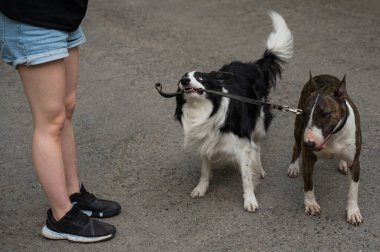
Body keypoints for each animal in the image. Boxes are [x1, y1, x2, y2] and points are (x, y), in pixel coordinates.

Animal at [175, 12, 294, 213]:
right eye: (182, 78)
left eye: (200, 78)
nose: (185, 81)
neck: (205, 109)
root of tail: (254, 65)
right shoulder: (205, 141)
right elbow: (204, 170)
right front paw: (201, 188)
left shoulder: (242, 145)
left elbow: (246, 177)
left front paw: (250, 200)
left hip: (259, 120)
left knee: (258, 145)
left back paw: (259, 168)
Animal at [288, 73, 362, 224]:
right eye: (305, 114)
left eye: (325, 114)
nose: (308, 143)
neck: (334, 137)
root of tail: (323, 75)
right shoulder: (308, 158)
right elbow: (308, 183)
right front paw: (311, 204)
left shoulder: (355, 162)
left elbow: (353, 190)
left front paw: (353, 212)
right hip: (298, 128)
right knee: (296, 146)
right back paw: (293, 166)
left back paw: (343, 164)